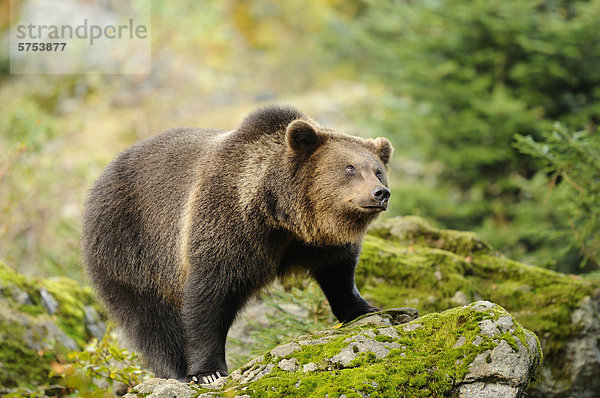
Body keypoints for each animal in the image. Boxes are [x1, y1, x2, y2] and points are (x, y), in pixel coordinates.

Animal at [82, 104, 396, 384]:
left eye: (377, 170)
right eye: (349, 168)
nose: (380, 193)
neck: (280, 216)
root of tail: (102, 176)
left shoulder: (318, 242)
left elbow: (339, 273)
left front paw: (366, 308)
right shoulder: (227, 227)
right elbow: (210, 295)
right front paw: (207, 371)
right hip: (128, 244)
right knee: (149, 317)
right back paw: (175, 370)